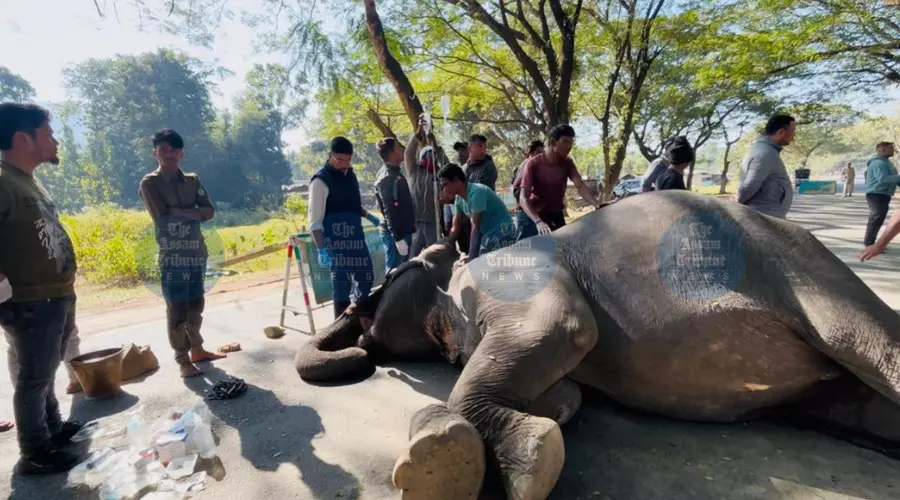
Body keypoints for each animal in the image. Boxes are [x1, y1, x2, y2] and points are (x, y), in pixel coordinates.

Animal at [294, 190, 900, 500]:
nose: (356, 311)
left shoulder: (511, 276)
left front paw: (453, 463)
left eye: (391, 275)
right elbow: (566, 392)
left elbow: (563, 328)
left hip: (807, 275)